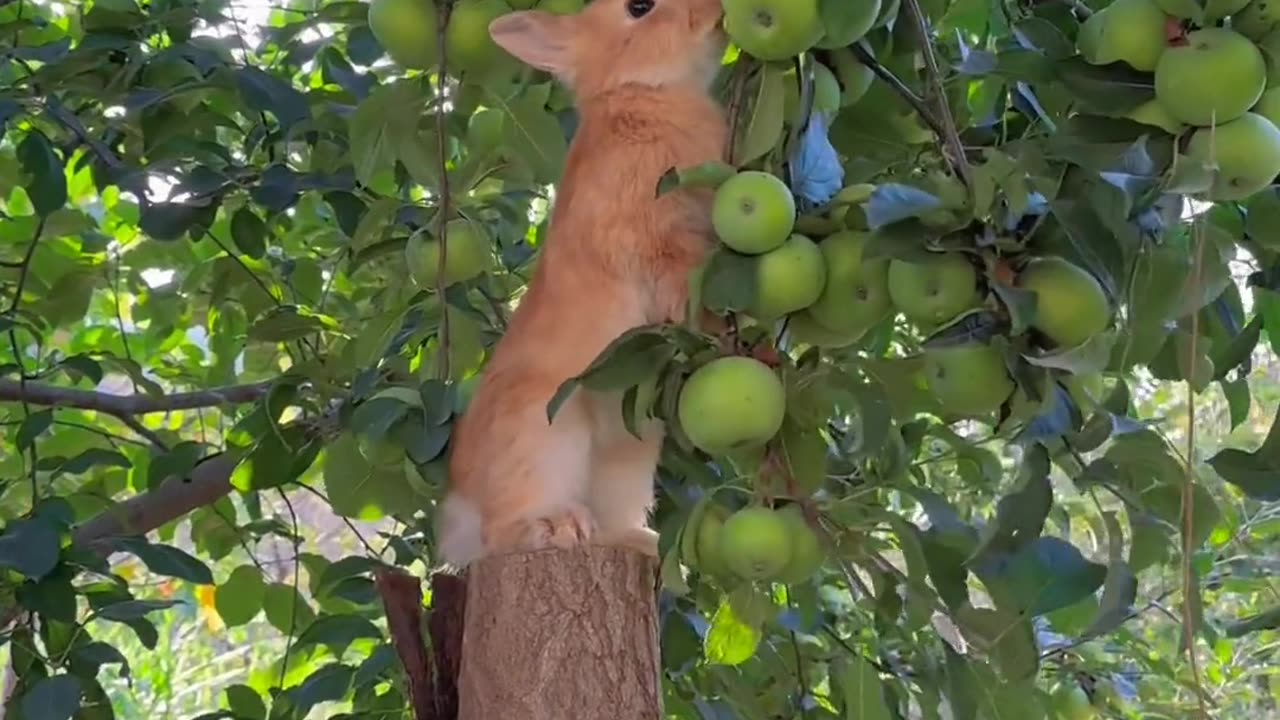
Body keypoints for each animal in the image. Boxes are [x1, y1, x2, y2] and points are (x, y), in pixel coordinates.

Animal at [435, 0, 732, 566]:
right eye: (639, 7)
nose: (717, 11)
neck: (636, 91)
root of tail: (463, 515)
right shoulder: (657, 242)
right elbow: (682, 278)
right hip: (545, 430)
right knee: (503, 531)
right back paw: (556, 526)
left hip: (628, 450)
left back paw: (636, 541)